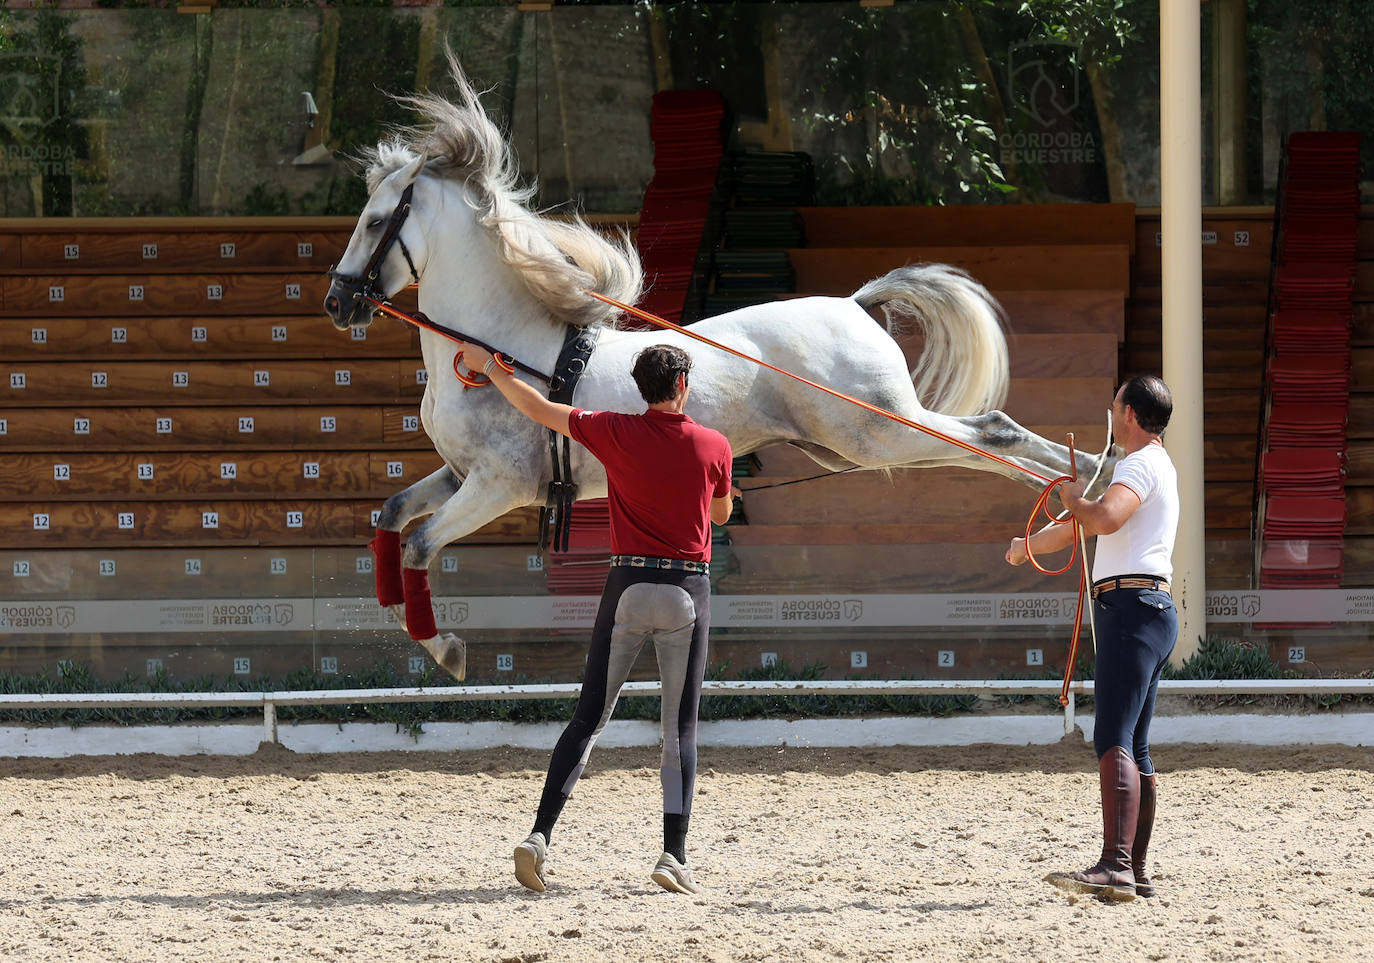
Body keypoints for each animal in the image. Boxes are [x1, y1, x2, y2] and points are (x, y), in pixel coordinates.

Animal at [318, 60, 1104, 675]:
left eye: (375, 219)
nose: (337, 301)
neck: (496, 349)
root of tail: (853, 303)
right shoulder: (459, 476)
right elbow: (392, 516)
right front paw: (397, 611)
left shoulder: (498, 486)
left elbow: (420, 543)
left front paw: (446, 649)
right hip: (858, 444)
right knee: (989, 434)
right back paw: (1084, 482)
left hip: (878, 433)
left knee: (988, 436)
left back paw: (1069, 494)